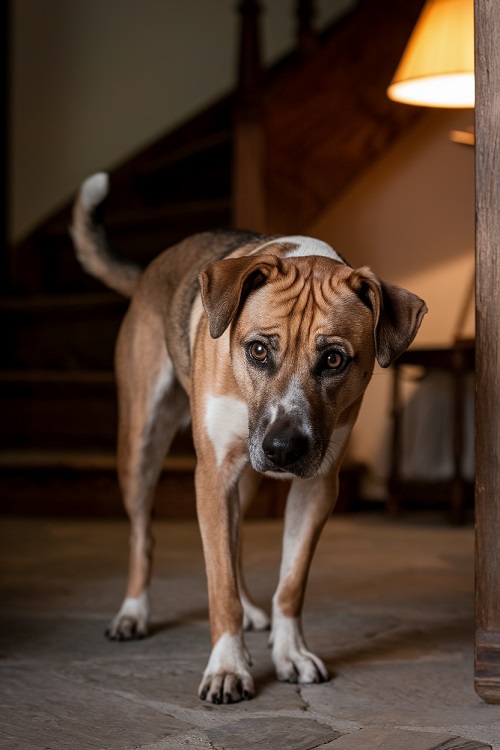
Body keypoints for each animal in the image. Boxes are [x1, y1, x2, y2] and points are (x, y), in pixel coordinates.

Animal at [70, 172, 426, 704]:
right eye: (258, 350)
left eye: (335, 360)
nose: (283, 449)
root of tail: (152, 267)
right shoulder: (213, 476)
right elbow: (217, 585)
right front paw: (227, 665)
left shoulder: (318, 486)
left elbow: (290, 582)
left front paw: (290, 651)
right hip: (139, 445)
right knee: (143, 534)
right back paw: (133, 612)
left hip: (252, 477)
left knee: (235, 544)